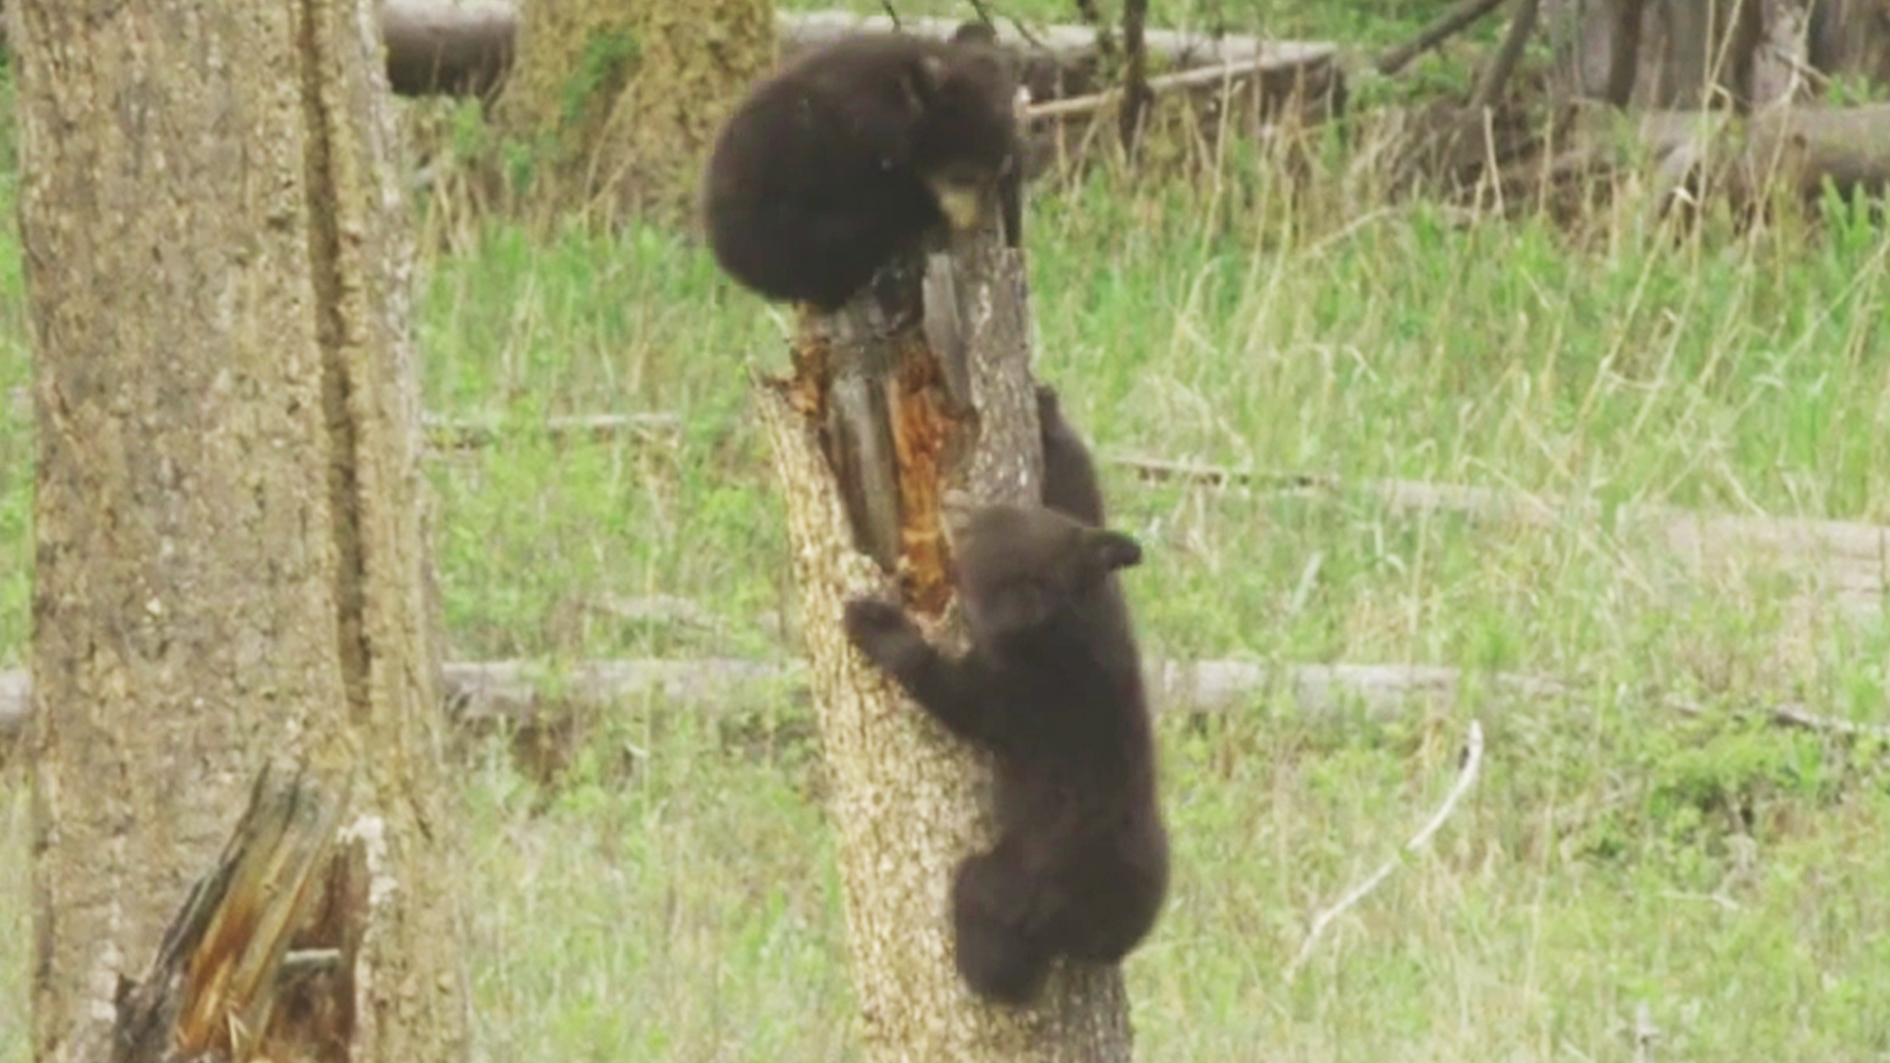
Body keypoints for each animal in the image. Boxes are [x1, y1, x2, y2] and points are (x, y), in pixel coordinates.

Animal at [842, 481, 1169, 1005]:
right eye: (1004, 507)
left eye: (978, 527)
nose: (951, 498)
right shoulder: (1110, 607)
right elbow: (1081, 496)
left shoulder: (1029, 696)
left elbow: (959, 696)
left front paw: (877, 624)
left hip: (1023, 881)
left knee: (982, 908)